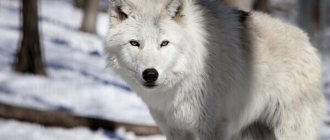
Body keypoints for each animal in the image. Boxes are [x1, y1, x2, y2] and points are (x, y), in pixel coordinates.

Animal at [105, 0, 324, 139]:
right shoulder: (175, 130)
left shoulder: (211, 129)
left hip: (289, 130)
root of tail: (308, 42)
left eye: (164, 43)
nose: (150, 74)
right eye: (134, 43)